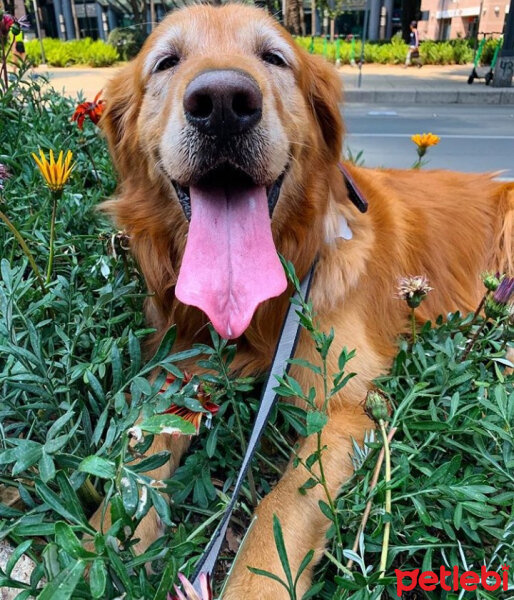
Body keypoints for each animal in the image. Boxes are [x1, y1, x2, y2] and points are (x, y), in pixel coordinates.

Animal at [95, 3, 512, 596]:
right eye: (166, 61)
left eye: (273, 57)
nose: (222, 104)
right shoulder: (179, 365)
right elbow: (135, 458)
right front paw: (95, 545)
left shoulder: (346, 403)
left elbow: (281, 506)